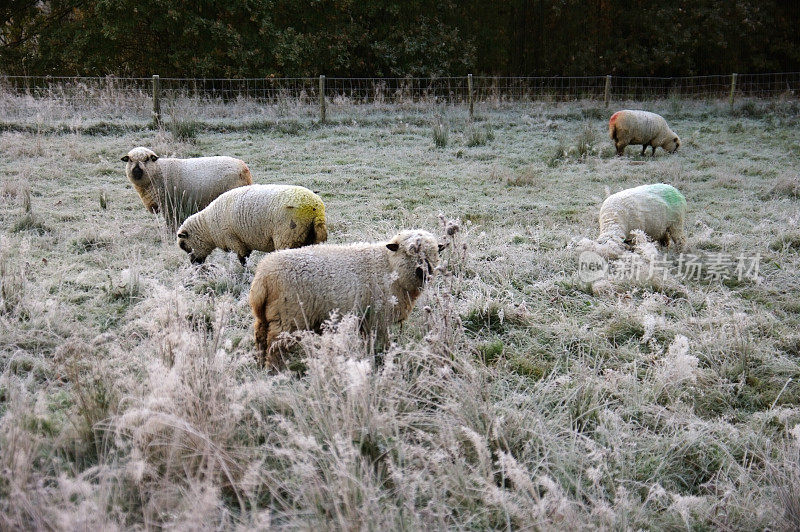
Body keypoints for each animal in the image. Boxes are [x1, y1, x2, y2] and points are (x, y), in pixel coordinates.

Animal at [120, 147, 252, 228]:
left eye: (147, 159)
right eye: (130, 160)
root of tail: (244, 168)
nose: (137, 171)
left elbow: (170, 222)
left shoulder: (169, 204)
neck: (158, 171)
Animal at [177, 184, 326, 264]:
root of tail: (316, 208)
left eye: (184, 245)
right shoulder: (243, 243)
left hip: (287, 238)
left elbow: (243, 260)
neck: (208, 227)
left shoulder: (234, 241)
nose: (194, 264)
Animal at [248, 231, 444, 368]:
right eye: (409, 252)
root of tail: (262, 276)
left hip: (265, 316)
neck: (389, 266)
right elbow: (381, 343)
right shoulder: (378, 318)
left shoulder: (367, 319)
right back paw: (276, 370)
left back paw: (260, 364)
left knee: (260, 338)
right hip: (288, 317)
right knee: (275, 346)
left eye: (434, 252)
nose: (424, 271)